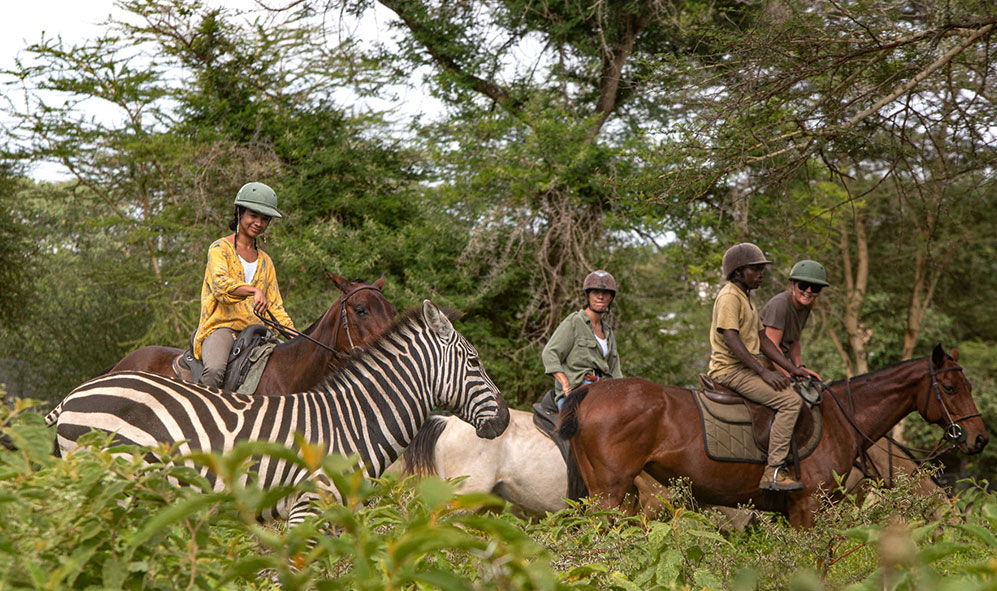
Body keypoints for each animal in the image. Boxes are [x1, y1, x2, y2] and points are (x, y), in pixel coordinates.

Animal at [556, 344, 984, 528]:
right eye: (950, 388)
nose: (979, 438)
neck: (840, 420)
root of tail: (590, 391)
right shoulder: (809, 508)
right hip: (609, 495)